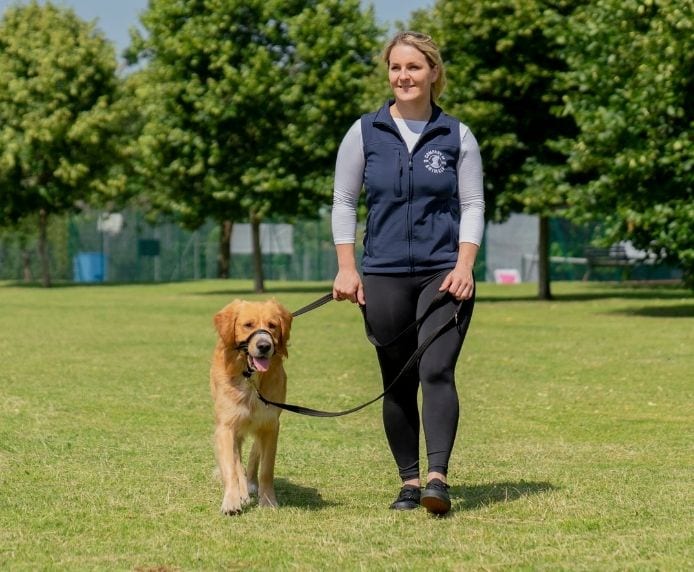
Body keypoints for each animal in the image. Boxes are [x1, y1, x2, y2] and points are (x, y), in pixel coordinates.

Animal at [209, 298, 290, 516]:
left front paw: (268, 501)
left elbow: (266, 469)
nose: (264, 346)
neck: (251, 378)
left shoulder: (271, 425)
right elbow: (232, 467)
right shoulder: (226, 427)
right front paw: (232, 501)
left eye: (272, 325)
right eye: (248, 325)